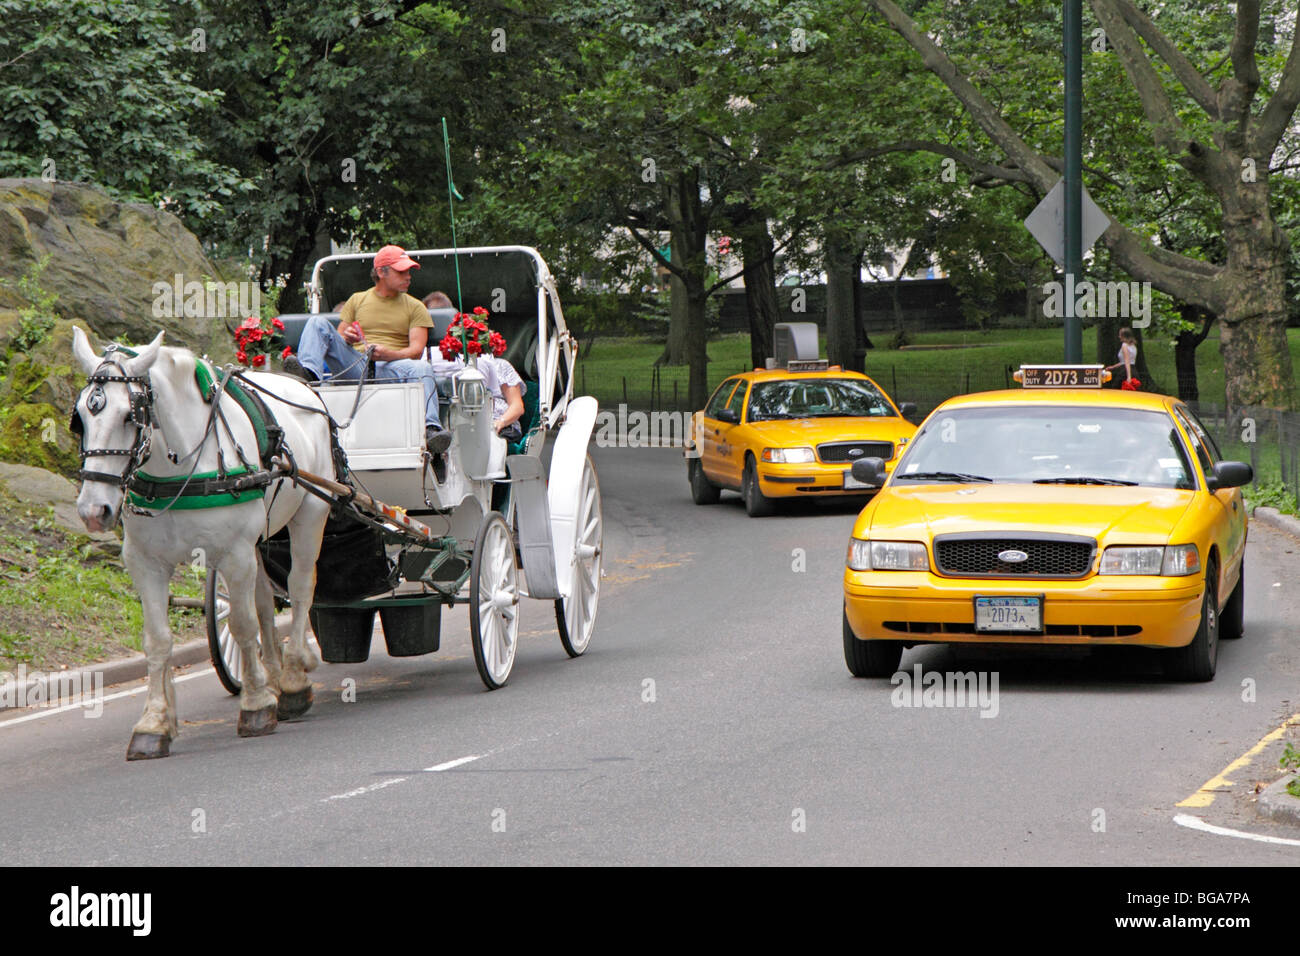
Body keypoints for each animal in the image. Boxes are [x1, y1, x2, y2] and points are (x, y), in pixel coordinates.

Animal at [69, 325, 335, 759]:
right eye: (80, 418)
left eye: (129, 415)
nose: (94, 510)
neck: (177, 468)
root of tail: (301, 385)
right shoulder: (145, 563)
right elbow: (158, 640)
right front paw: (154, 723)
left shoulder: (233, 553)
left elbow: (242, 624)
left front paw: (255, 707)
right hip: (257, 541)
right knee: (265, 602)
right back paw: (274, 677)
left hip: (310, 513)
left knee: (299, 588)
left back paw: (293, 680)